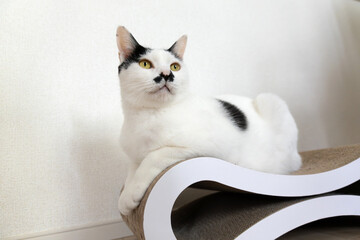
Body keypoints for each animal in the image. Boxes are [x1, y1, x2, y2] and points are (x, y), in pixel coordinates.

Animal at [116, 26, 300, 216]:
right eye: (145, 64)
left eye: (175, 66)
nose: (167, 75)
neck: (148, 115)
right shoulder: (134, 157)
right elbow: (131, 173)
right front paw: (125, 195)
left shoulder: (205, 146)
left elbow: (152, 157)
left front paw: (131, 195)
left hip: (270, 101)